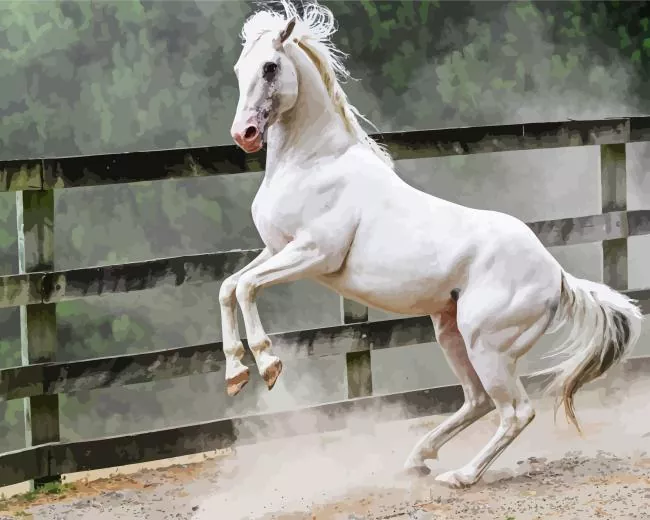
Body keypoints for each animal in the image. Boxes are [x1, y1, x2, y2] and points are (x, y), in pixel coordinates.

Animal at [218, 0, 643, 488]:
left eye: (270, 67)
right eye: (239, 68)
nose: (245, 134)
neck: (314, 162)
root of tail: (556, 275)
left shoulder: (313, 255)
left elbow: (247, 288)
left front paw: (268, 365)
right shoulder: (276, 250)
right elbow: (229, 287)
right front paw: (236, 374)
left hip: (487, 345)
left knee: (515, 412)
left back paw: (461, 476)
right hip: (451, 332)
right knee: (477, 401)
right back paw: (418, 458)